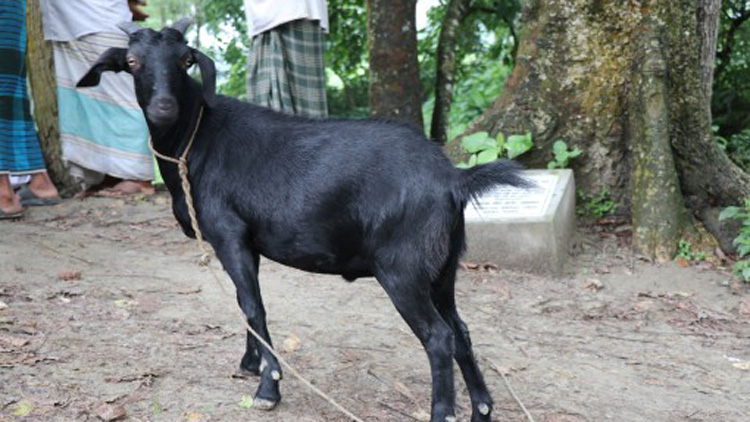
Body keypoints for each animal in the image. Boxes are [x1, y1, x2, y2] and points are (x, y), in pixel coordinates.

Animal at [75, 19, 524, 422]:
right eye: (132, 62)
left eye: (185, 60)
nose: (163, 107)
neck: (196, 140)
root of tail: (453, 178)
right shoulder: (248, 242)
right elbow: (244, 303)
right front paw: (250, 363)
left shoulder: (228, 233)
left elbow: (254, 307)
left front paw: (268, 387)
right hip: (443, 267)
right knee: (461, 330)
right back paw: (482, 410)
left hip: (403, 268)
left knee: (439, 337)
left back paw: (442, 412)